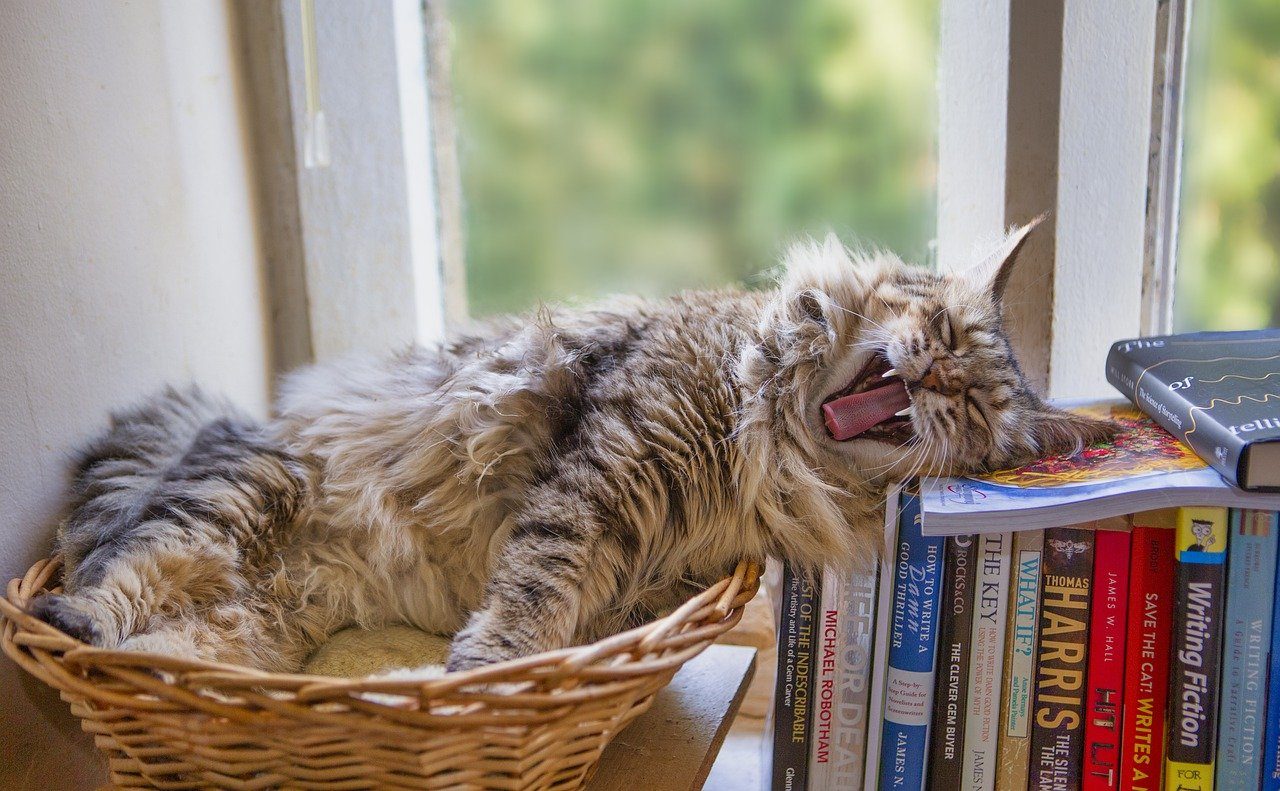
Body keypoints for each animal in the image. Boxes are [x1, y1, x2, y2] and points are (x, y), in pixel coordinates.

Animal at [27, 218, 1111, 670]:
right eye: (941, 334)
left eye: (972, 411)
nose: (933, 382)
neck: (769, 440)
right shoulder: (606, 464)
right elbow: (540, 579)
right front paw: (490, 662)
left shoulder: (657, 550)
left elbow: (579, 599)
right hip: (240, 490)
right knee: (126, 570)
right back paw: (70, 615)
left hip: (251, 617)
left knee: (171, 636)